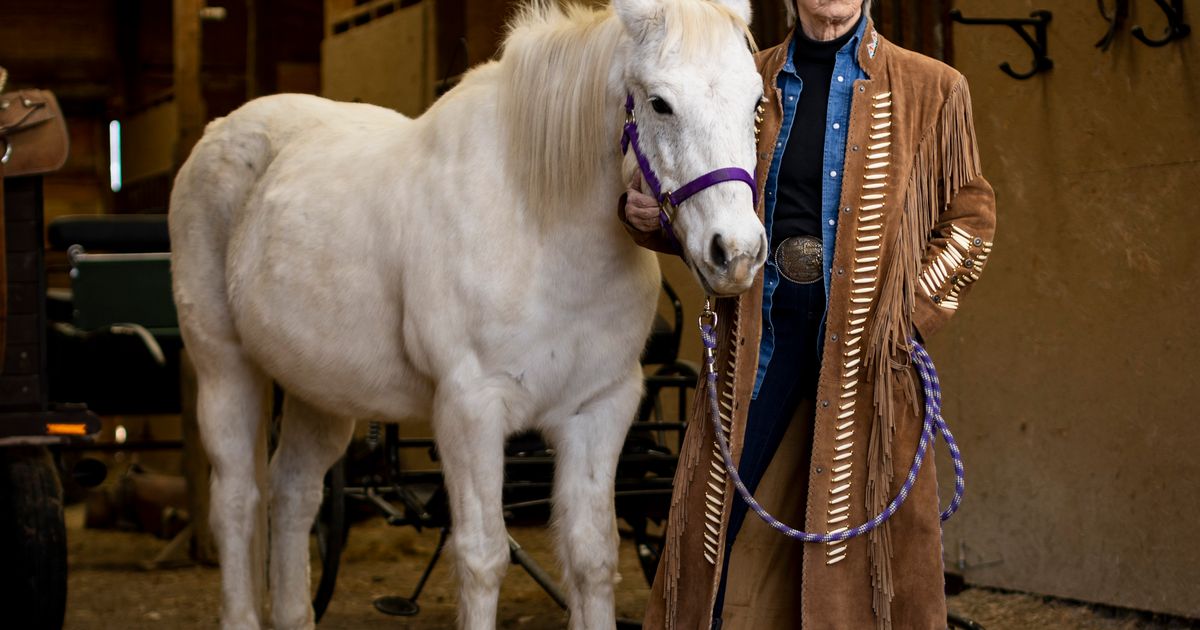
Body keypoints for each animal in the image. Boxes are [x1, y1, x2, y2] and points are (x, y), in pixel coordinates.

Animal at [166, 2, 768, 624]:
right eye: (659, 103)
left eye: (756, 101)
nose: (736, 252)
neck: (538, 227)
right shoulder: (470, 409)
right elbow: (483, 557)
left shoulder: (599, 410)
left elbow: (593, 555)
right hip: (225, 369)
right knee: (238, 500)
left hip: (319, 392)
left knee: (293, 492)